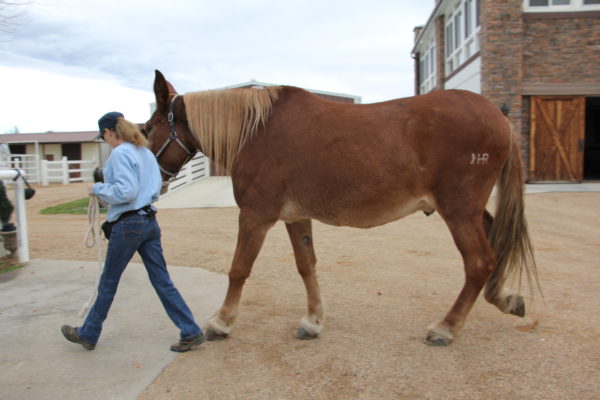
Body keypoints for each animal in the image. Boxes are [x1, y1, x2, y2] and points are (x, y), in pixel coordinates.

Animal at [144, 70, 540, 346]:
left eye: (147, 128)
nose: (154, 181)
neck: (256, 131)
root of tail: (497, 115)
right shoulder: (296, 216)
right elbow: (306, 266)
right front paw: (312, 321)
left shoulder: (256, 215)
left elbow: (239, 269)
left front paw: (221, 322)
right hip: (469, 211)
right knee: (495, 246)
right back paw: (505, 298)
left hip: (458, 210)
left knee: (479, 262)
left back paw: (446, 327)